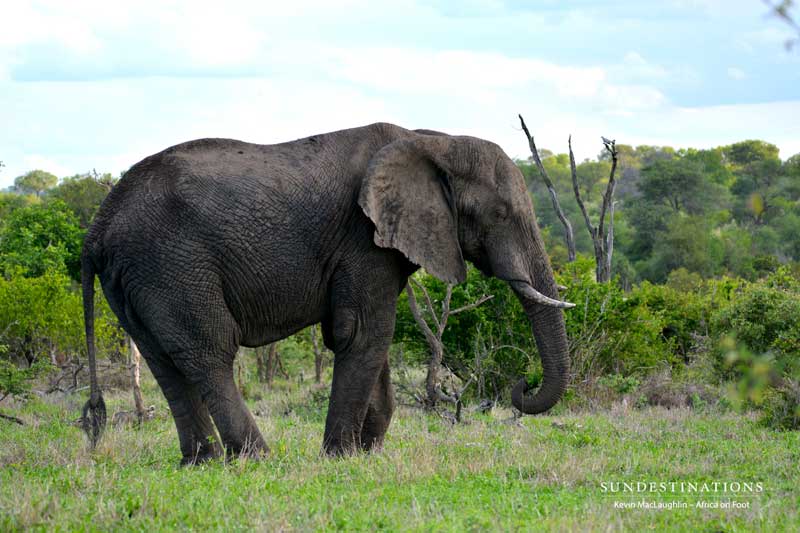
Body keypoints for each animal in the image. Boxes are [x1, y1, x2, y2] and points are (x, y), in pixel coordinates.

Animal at [80, 122, 574, 465]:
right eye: (501, 213)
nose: (521, 384)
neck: (432, 140)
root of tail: (98, 225)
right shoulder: (362, 239)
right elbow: (363, 333)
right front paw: (342, 457)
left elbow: (364, 338)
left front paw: (368, 451)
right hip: (171, 264)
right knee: (209, 351)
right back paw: (256, 459)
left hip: (136, 277)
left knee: (165, 362)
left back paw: (201, 463)